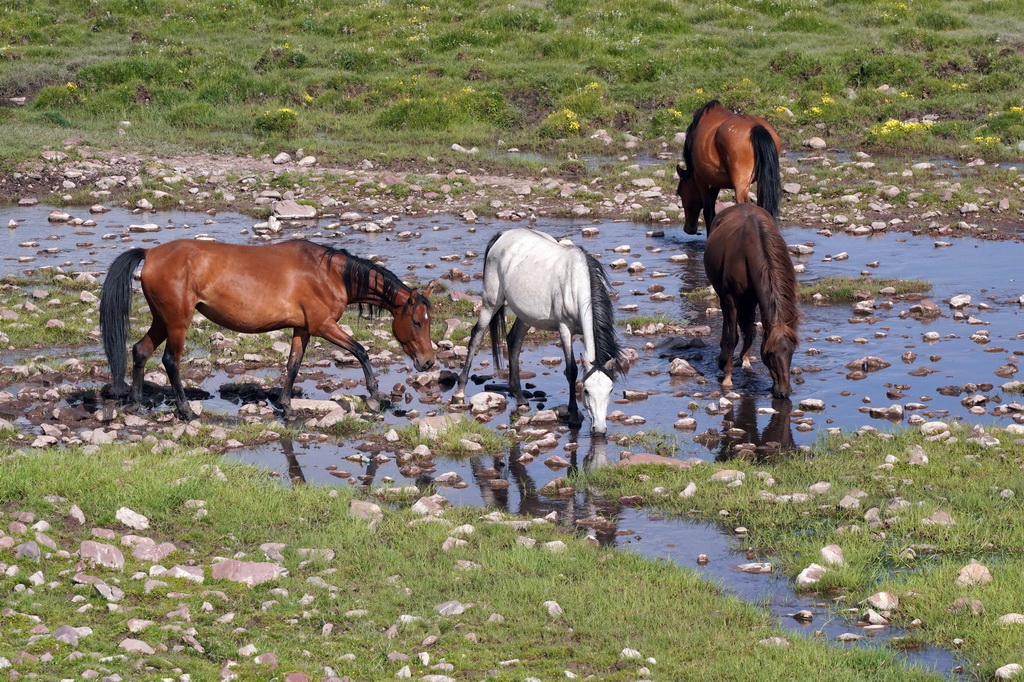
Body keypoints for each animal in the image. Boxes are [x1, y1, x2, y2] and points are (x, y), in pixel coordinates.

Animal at [96, 238, 432, 419]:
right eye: (417, 321)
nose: (428, 362)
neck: (330, 274)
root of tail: (151, 253)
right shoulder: (324, 325)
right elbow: (361, 351)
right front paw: (374, 396)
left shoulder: (303, 329)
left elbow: (293, 365)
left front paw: (287, 406)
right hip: (177, 322)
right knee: (170, 361)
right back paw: (186, 410)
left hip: (162, 320)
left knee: (140, 351)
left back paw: (136, 405)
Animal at [454, 227, 622, 430]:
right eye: (587, 390)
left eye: (610, 390)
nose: (599, 429)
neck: (577, 282)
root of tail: (503, 234)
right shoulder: (565, 328)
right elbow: (571, 370)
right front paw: (574, 416)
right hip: (490, 301)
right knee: (476, 337)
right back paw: (459, 391)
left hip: (525, 315)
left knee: (514, 341)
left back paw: (519, 396)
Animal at [675, 98, 778, 236]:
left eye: (680, 192)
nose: (689, 229)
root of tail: (756, 128)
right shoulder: (716, 179)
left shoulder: (700, 178)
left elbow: (708, 210)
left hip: (740, 184)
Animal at [704, 201, 798, 399]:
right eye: (770, 353)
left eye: (792, 351)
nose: (784, 392)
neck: (748, 252)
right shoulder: (731, 298)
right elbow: (733, 337)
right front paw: (727, 378)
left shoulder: (755, 298)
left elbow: (750, 330)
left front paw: (744, 360)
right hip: (723, 296)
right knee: (727, 322)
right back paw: (723, 359)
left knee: (748, 327)